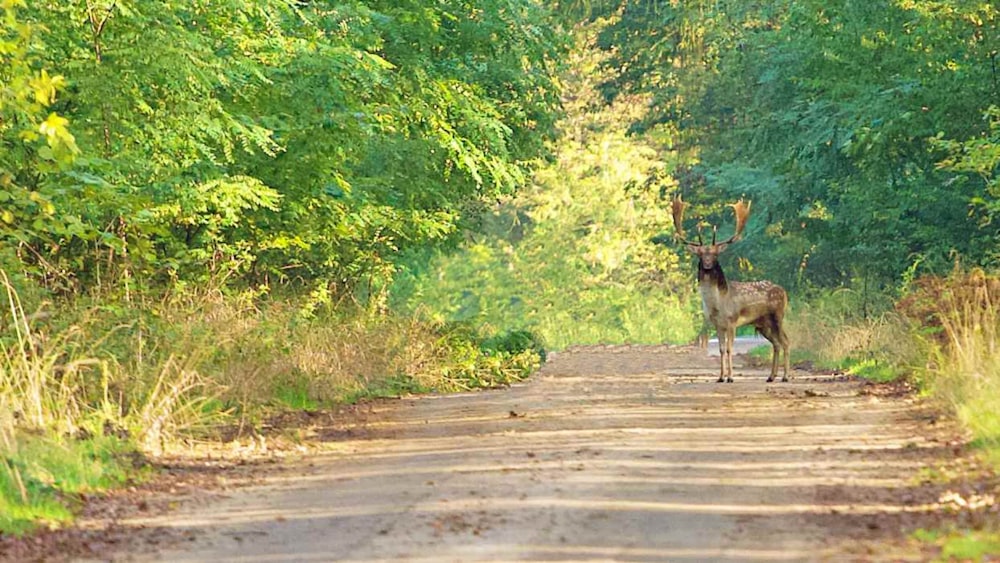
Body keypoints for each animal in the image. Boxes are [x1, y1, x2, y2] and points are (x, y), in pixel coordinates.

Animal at [672, 195, 788, 384]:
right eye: (701, 254)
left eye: (715, 254)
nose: (707, 264)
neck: (718, 304)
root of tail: (784, 291)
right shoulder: (717, 324)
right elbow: (720, 349)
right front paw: (720, 377)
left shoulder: (732, 321)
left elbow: (729, 349)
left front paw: (731, 377)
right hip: (763, 323)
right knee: (777, 343)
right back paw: (771, 376)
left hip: (778, 315)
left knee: (785, 341)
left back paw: (785, 377)